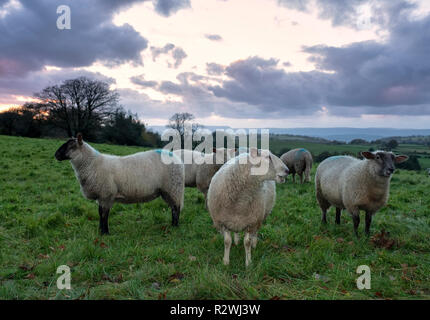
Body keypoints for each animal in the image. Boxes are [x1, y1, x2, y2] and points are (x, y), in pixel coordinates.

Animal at [53, 133, 183, 235]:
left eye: (71, 146)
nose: (56, 155)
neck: (92, 164)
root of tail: (174, 156)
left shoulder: (106, 194)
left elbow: (104, 214)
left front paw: (105, 233)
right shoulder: (101, 196)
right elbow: (100, 213)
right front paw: (100, 230)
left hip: (173, 188)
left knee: (176, 208)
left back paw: (175, 226)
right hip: (166, 191)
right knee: (173, 207)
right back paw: (172, 224)